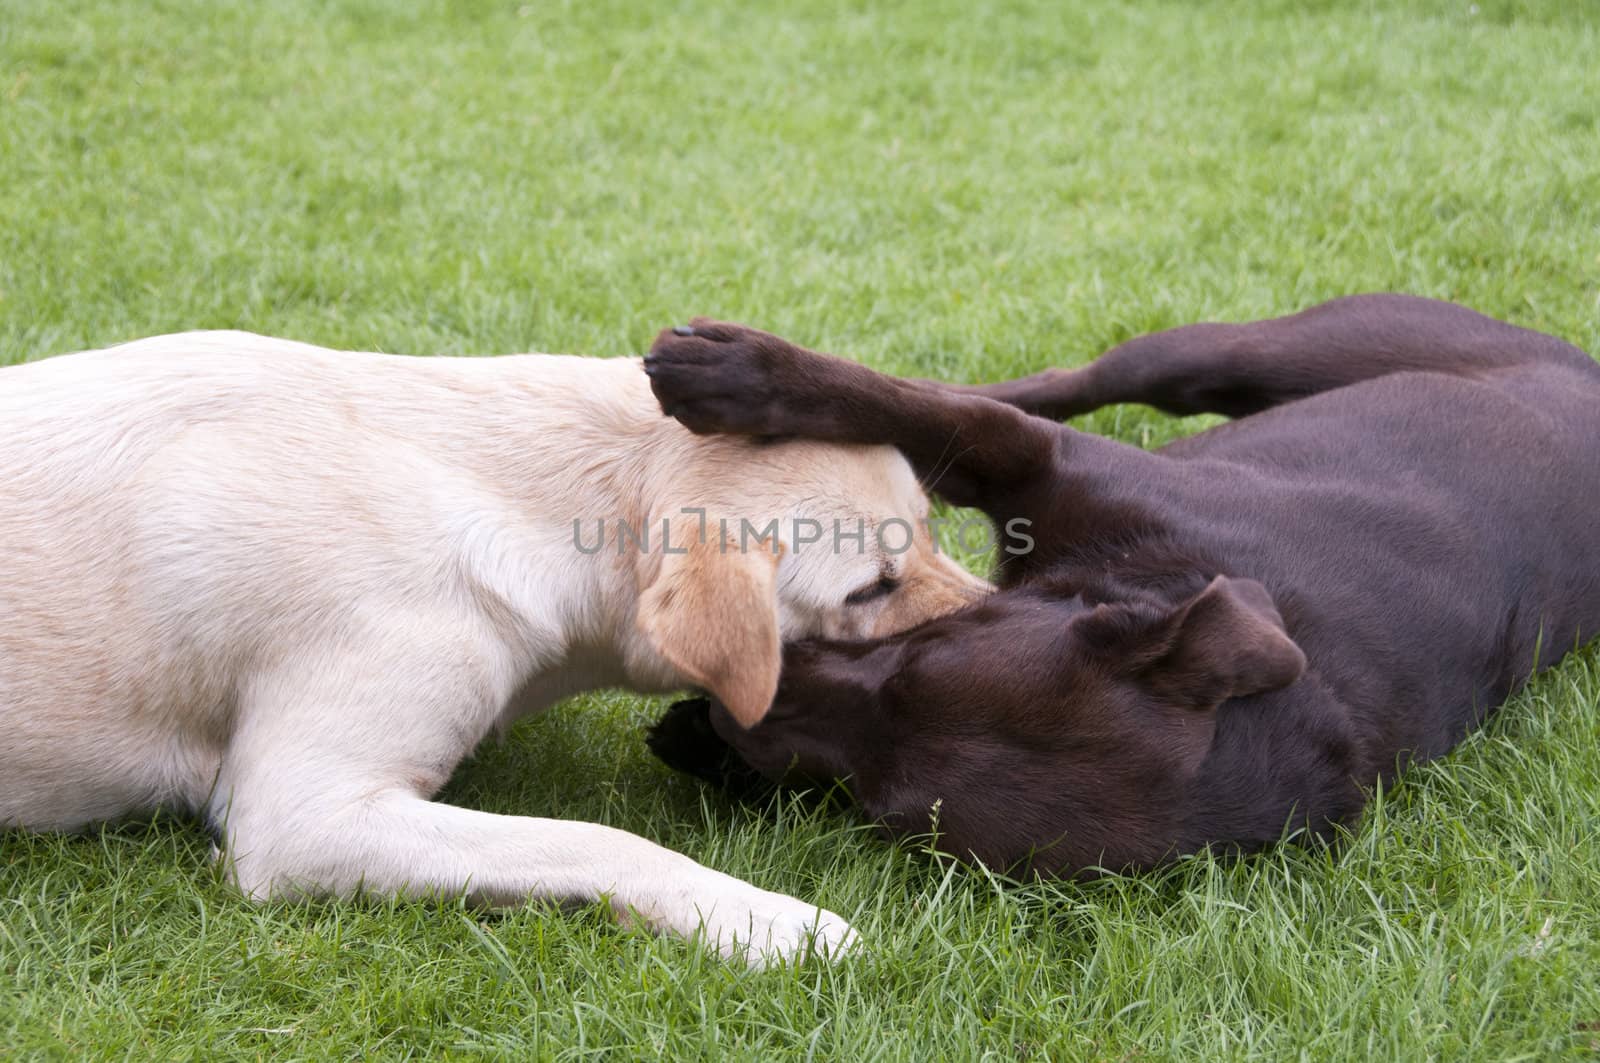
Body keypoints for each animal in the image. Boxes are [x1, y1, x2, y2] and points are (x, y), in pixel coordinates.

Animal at [0, 329, 979, 960]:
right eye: (870, 588)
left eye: (932, 531)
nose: (1002, 614)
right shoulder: (300, 819)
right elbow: (602, 839)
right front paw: (763, 921)